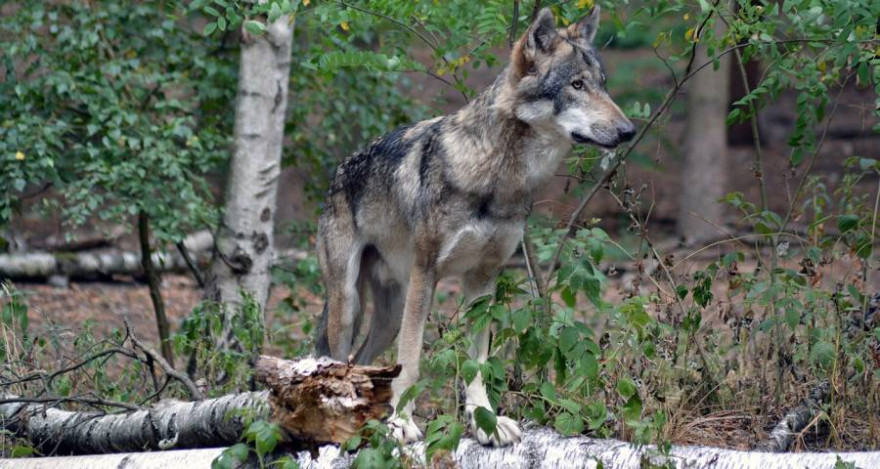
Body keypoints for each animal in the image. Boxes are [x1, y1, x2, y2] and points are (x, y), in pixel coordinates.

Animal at [312, 7, 636, 446]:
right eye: (576, 85)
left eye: (602, 84)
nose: (629, 131)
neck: (499, 177)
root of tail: (338, 171)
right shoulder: (426, 274)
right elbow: (411, 362)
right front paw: (401, 422)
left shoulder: (484, 279)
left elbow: (477, 363)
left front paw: (487, 422)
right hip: (349, 305)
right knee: (339, 361)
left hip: (390, 316)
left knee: (363, 363)